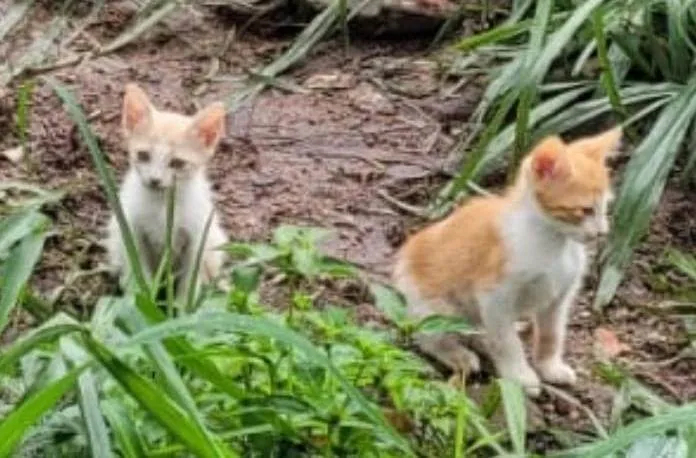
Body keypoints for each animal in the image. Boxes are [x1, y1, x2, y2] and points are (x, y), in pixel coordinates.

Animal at [106, 84, 228, 304]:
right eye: (143, 155)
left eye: (177, 163)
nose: (154, 180)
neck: (162, 205)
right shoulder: (131, 231)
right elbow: (139, 272)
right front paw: (142, 302)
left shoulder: (197, 236)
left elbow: (189, 279)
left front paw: (182, 308)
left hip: (214, 238)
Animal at [394, 127, 624, 396]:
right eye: (585, 210)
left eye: (605, 207)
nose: (602, 233)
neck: (553, 242)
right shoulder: (494, 295)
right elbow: (506, 343)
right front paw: (520, 376)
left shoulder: (560, 296)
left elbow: (552, 334)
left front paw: (549, 366)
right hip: (437, 308)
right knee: (428, 335)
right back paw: (458, 355)